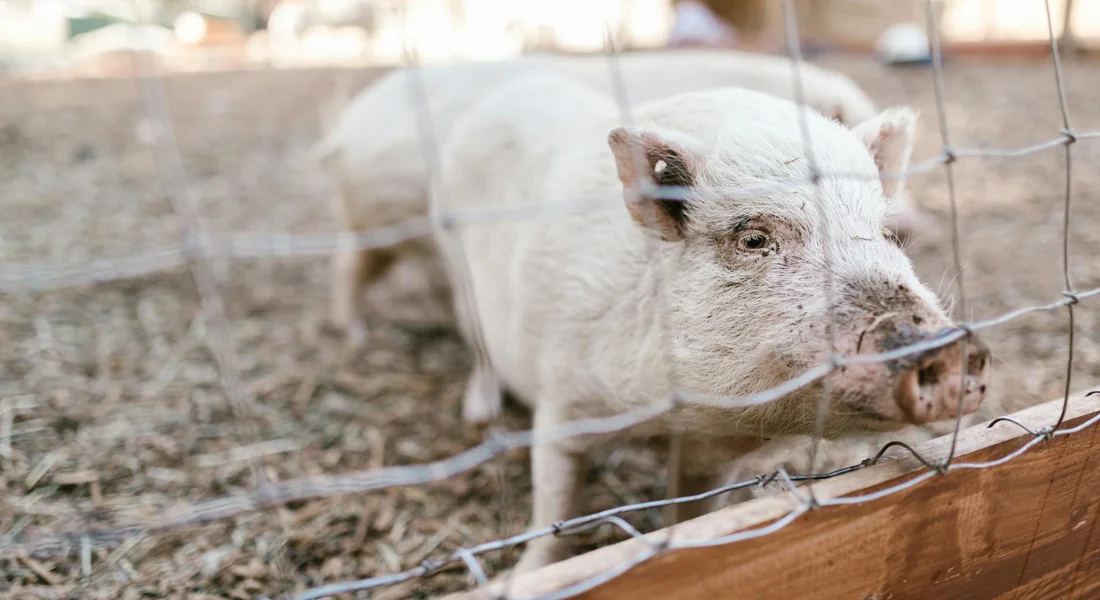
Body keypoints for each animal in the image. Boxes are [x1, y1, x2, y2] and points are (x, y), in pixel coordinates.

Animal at [428, 73, 989, 573]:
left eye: (885, 233)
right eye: (754, 239)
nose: (950, 346)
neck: (671, 419)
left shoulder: (708, 457)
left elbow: (693, 514)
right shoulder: (562, 401)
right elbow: (554, 507)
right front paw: (524, 576)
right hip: (458, 271)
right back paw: (479, 413)